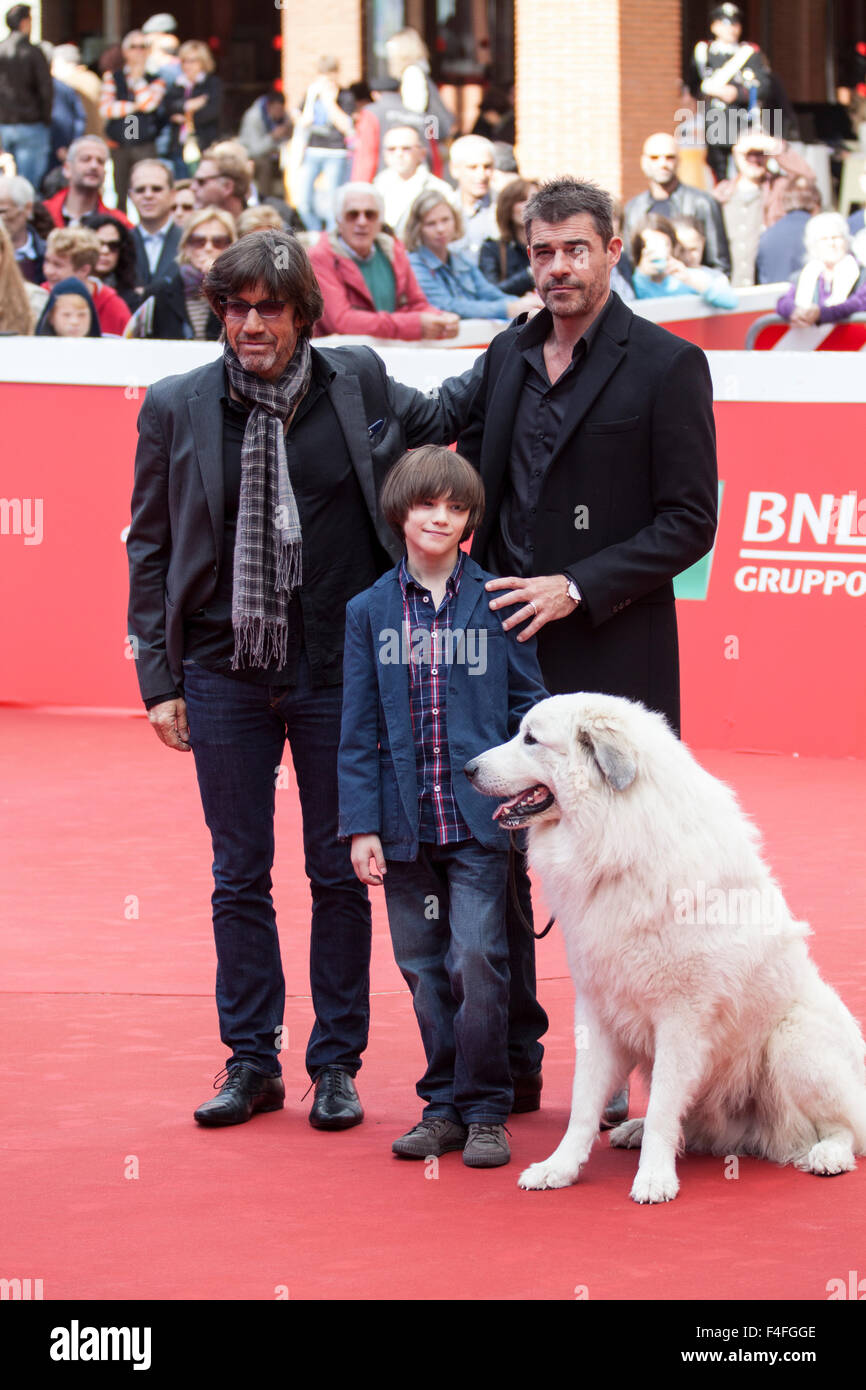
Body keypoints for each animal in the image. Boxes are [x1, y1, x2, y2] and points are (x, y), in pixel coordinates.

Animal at [467, 695, 866, 1206]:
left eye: (531, 739)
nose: (466, 768)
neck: (616, 838)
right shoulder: (598, 1011)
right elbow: (583, 1105)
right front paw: (560, 1168)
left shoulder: (682, 1019)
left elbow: (662, 1108)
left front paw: (654, 1179)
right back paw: (634, 1131)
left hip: (793, 1043)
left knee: (844, 1126)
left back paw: (827, 1155)